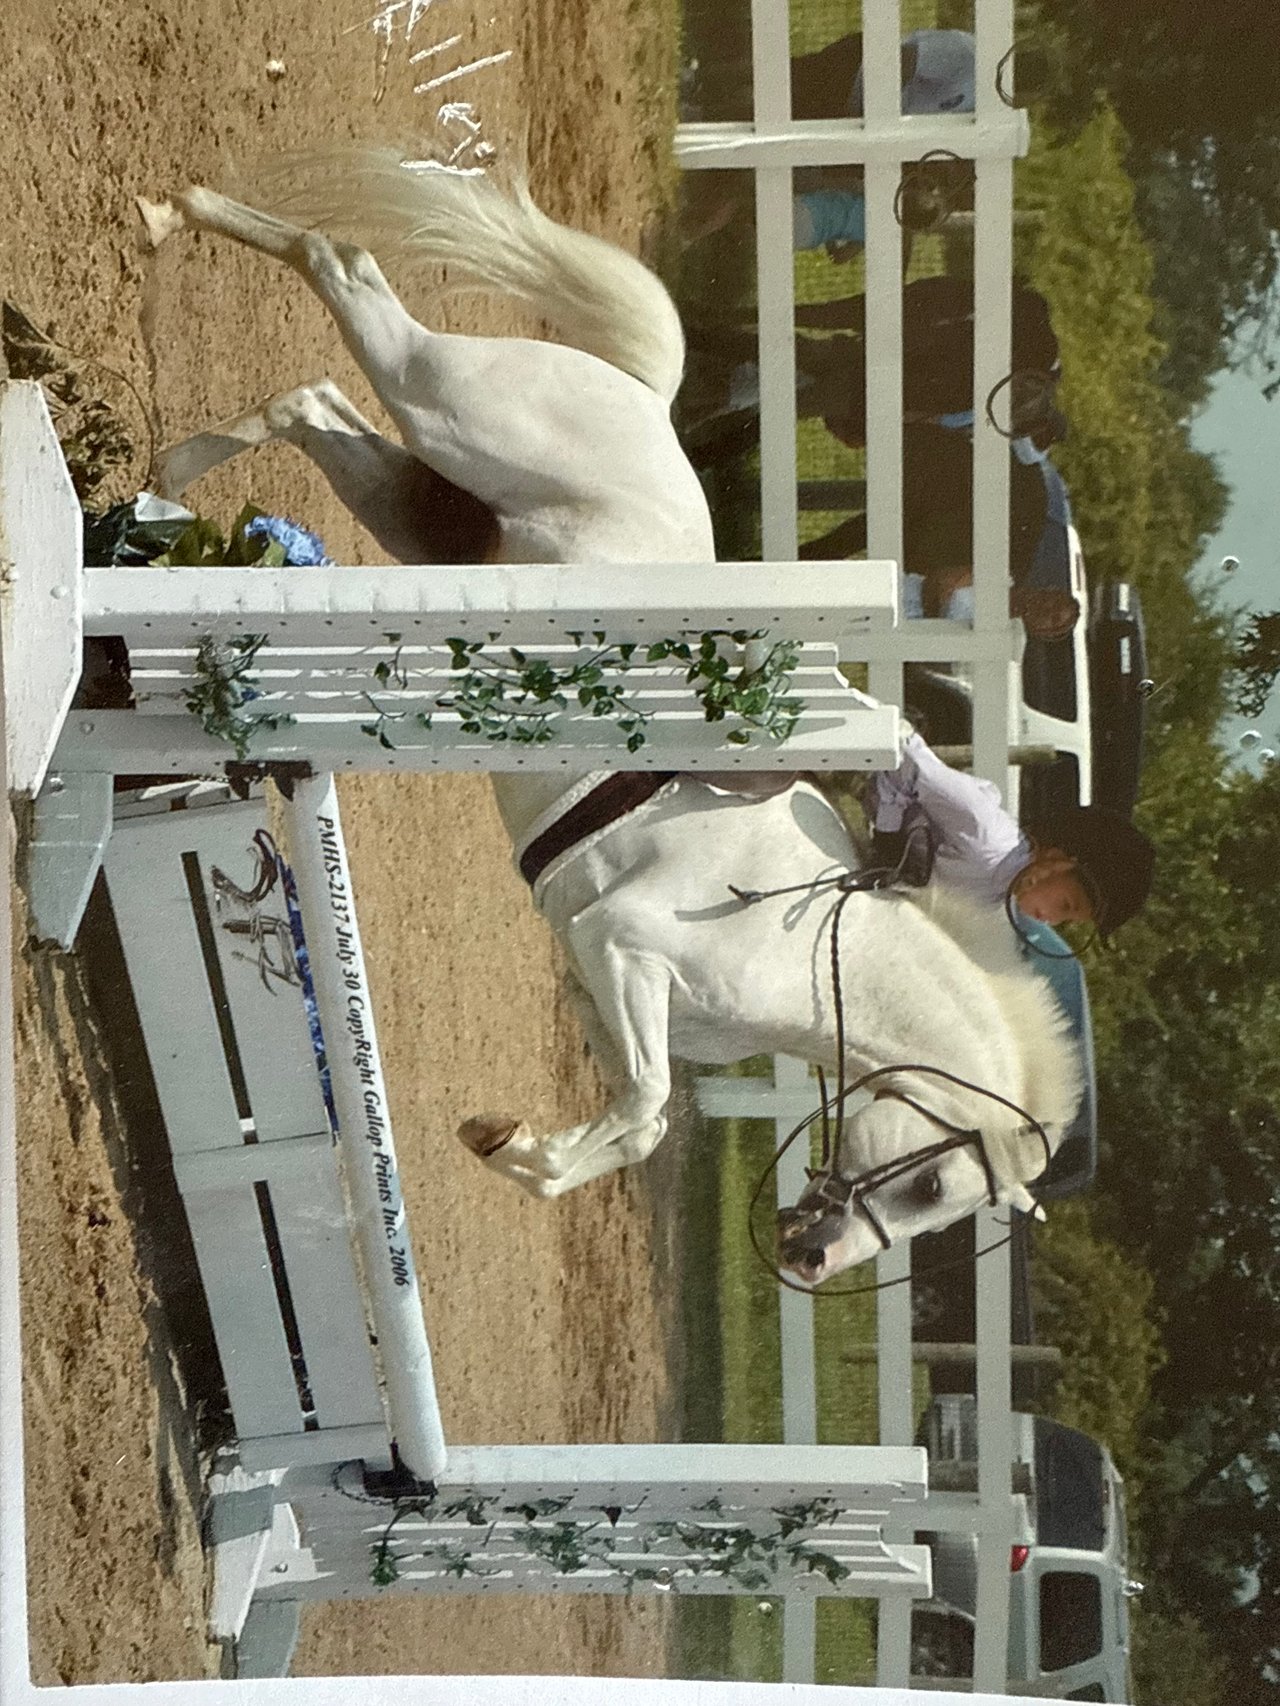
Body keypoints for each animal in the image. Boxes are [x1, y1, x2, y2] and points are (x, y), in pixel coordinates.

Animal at [141, 154, 1081, 1284]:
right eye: (933, 1187)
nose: (809, 1258)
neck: (812, 958)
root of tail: (644, 399)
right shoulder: (624, 944)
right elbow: (643, 1108)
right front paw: (511, 1144)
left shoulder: (605, 981)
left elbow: (645, 1113)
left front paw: (514, 1145)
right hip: (444, 404)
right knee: (346, 266)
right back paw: (170, 216)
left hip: (435, 512)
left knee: (311, 399)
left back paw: (172, 456)